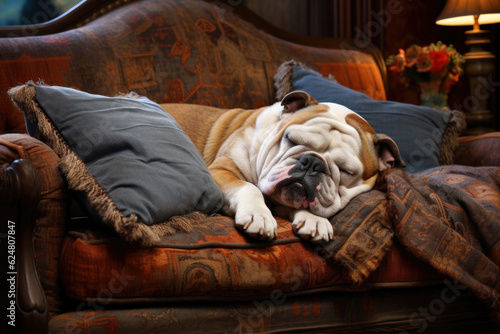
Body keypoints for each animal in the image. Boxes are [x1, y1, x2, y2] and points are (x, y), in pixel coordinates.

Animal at [162, 90, 404, 243]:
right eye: (291, 139)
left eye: (347, 171)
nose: (312, 162)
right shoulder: (221, 171)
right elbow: (248, 188)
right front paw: (259, 215)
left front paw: (315, 220)